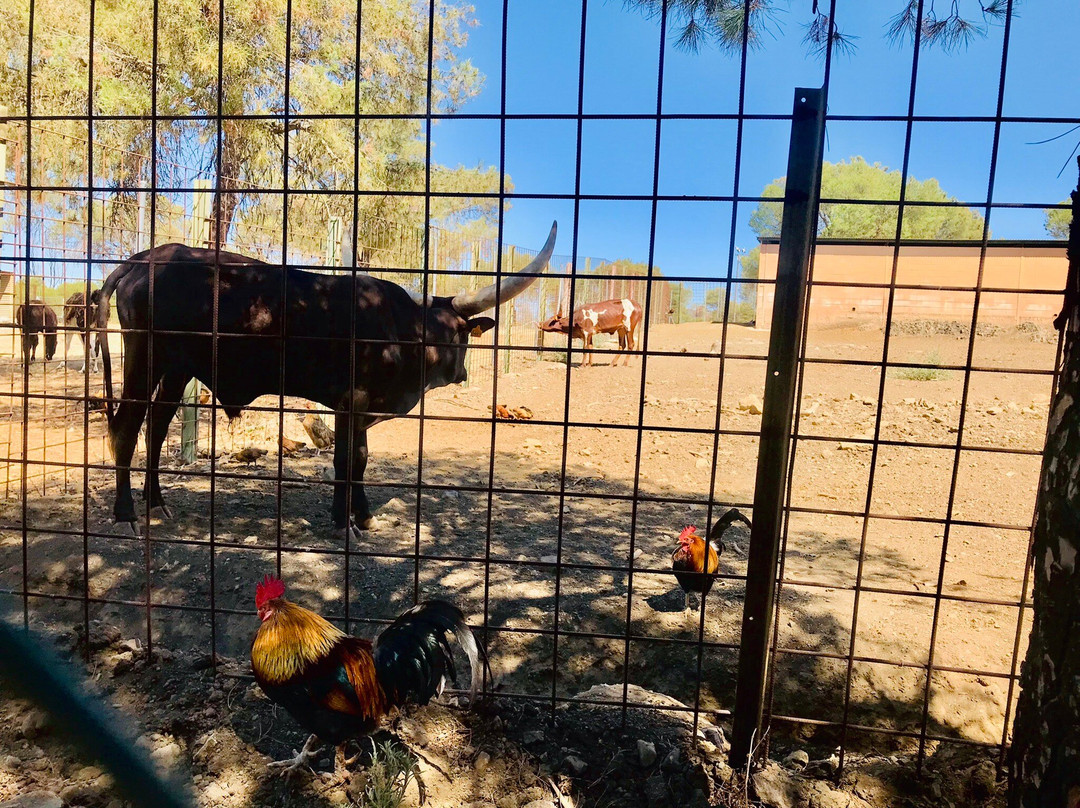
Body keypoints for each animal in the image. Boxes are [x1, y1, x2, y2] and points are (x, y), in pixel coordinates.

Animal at [95, 223, 557, 533]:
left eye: (457, 331)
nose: (458, 371)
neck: (399, 329)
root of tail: (143, 259)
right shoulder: (350, 402)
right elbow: (345, 461)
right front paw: (342, 521)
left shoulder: (363, 411)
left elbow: (361, 458)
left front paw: (362, 514)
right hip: (145, 358)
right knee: (127, 429)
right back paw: (126, 514)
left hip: (178, 369)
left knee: (156, 427)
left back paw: (156, 503)